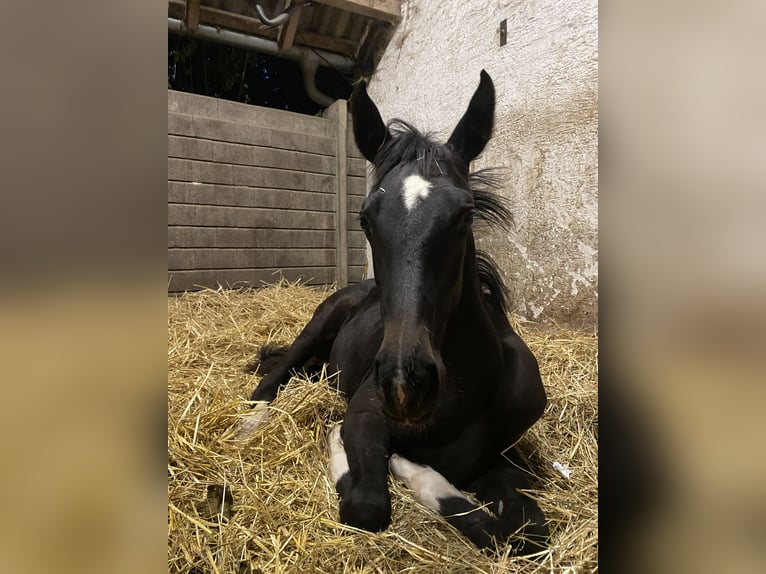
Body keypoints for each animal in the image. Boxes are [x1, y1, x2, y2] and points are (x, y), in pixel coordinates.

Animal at [243, 72, 548, 560]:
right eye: (365, 219)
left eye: (466, 215)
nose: (406, 383)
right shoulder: (364, 416)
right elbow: (366, 505)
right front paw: (386, 464)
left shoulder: (496, 462)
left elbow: (527, 530)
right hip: (316, 328)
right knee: (273, 379)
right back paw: (250, 421)